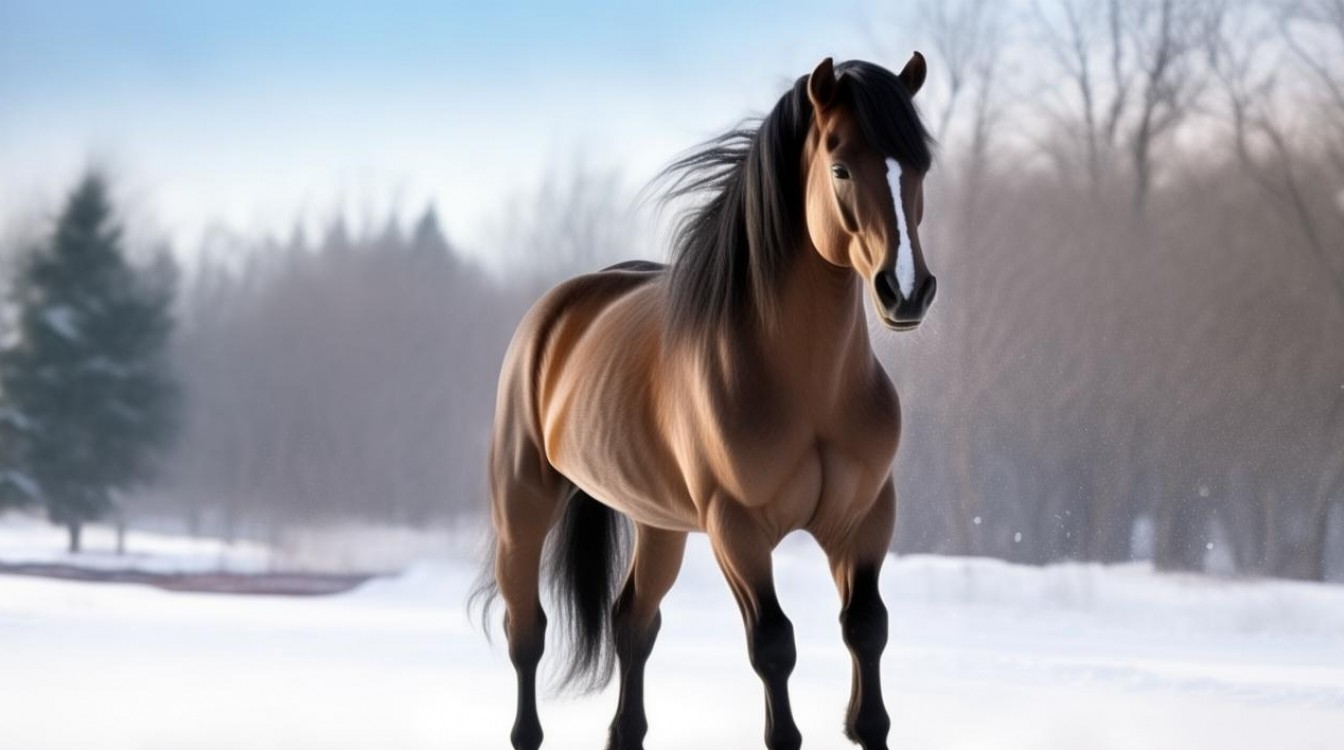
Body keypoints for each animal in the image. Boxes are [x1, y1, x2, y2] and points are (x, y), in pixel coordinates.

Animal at [475, 54, 937, 750]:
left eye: (920, 167)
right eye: (840, 167)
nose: (906, 291)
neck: (809, 390)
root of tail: (554, 314)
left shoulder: (863, 522)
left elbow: (867, 642)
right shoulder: (737, 531)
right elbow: (774, 647)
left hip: (659, 527)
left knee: (632, 626)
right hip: (522, 511)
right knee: (526, 636)